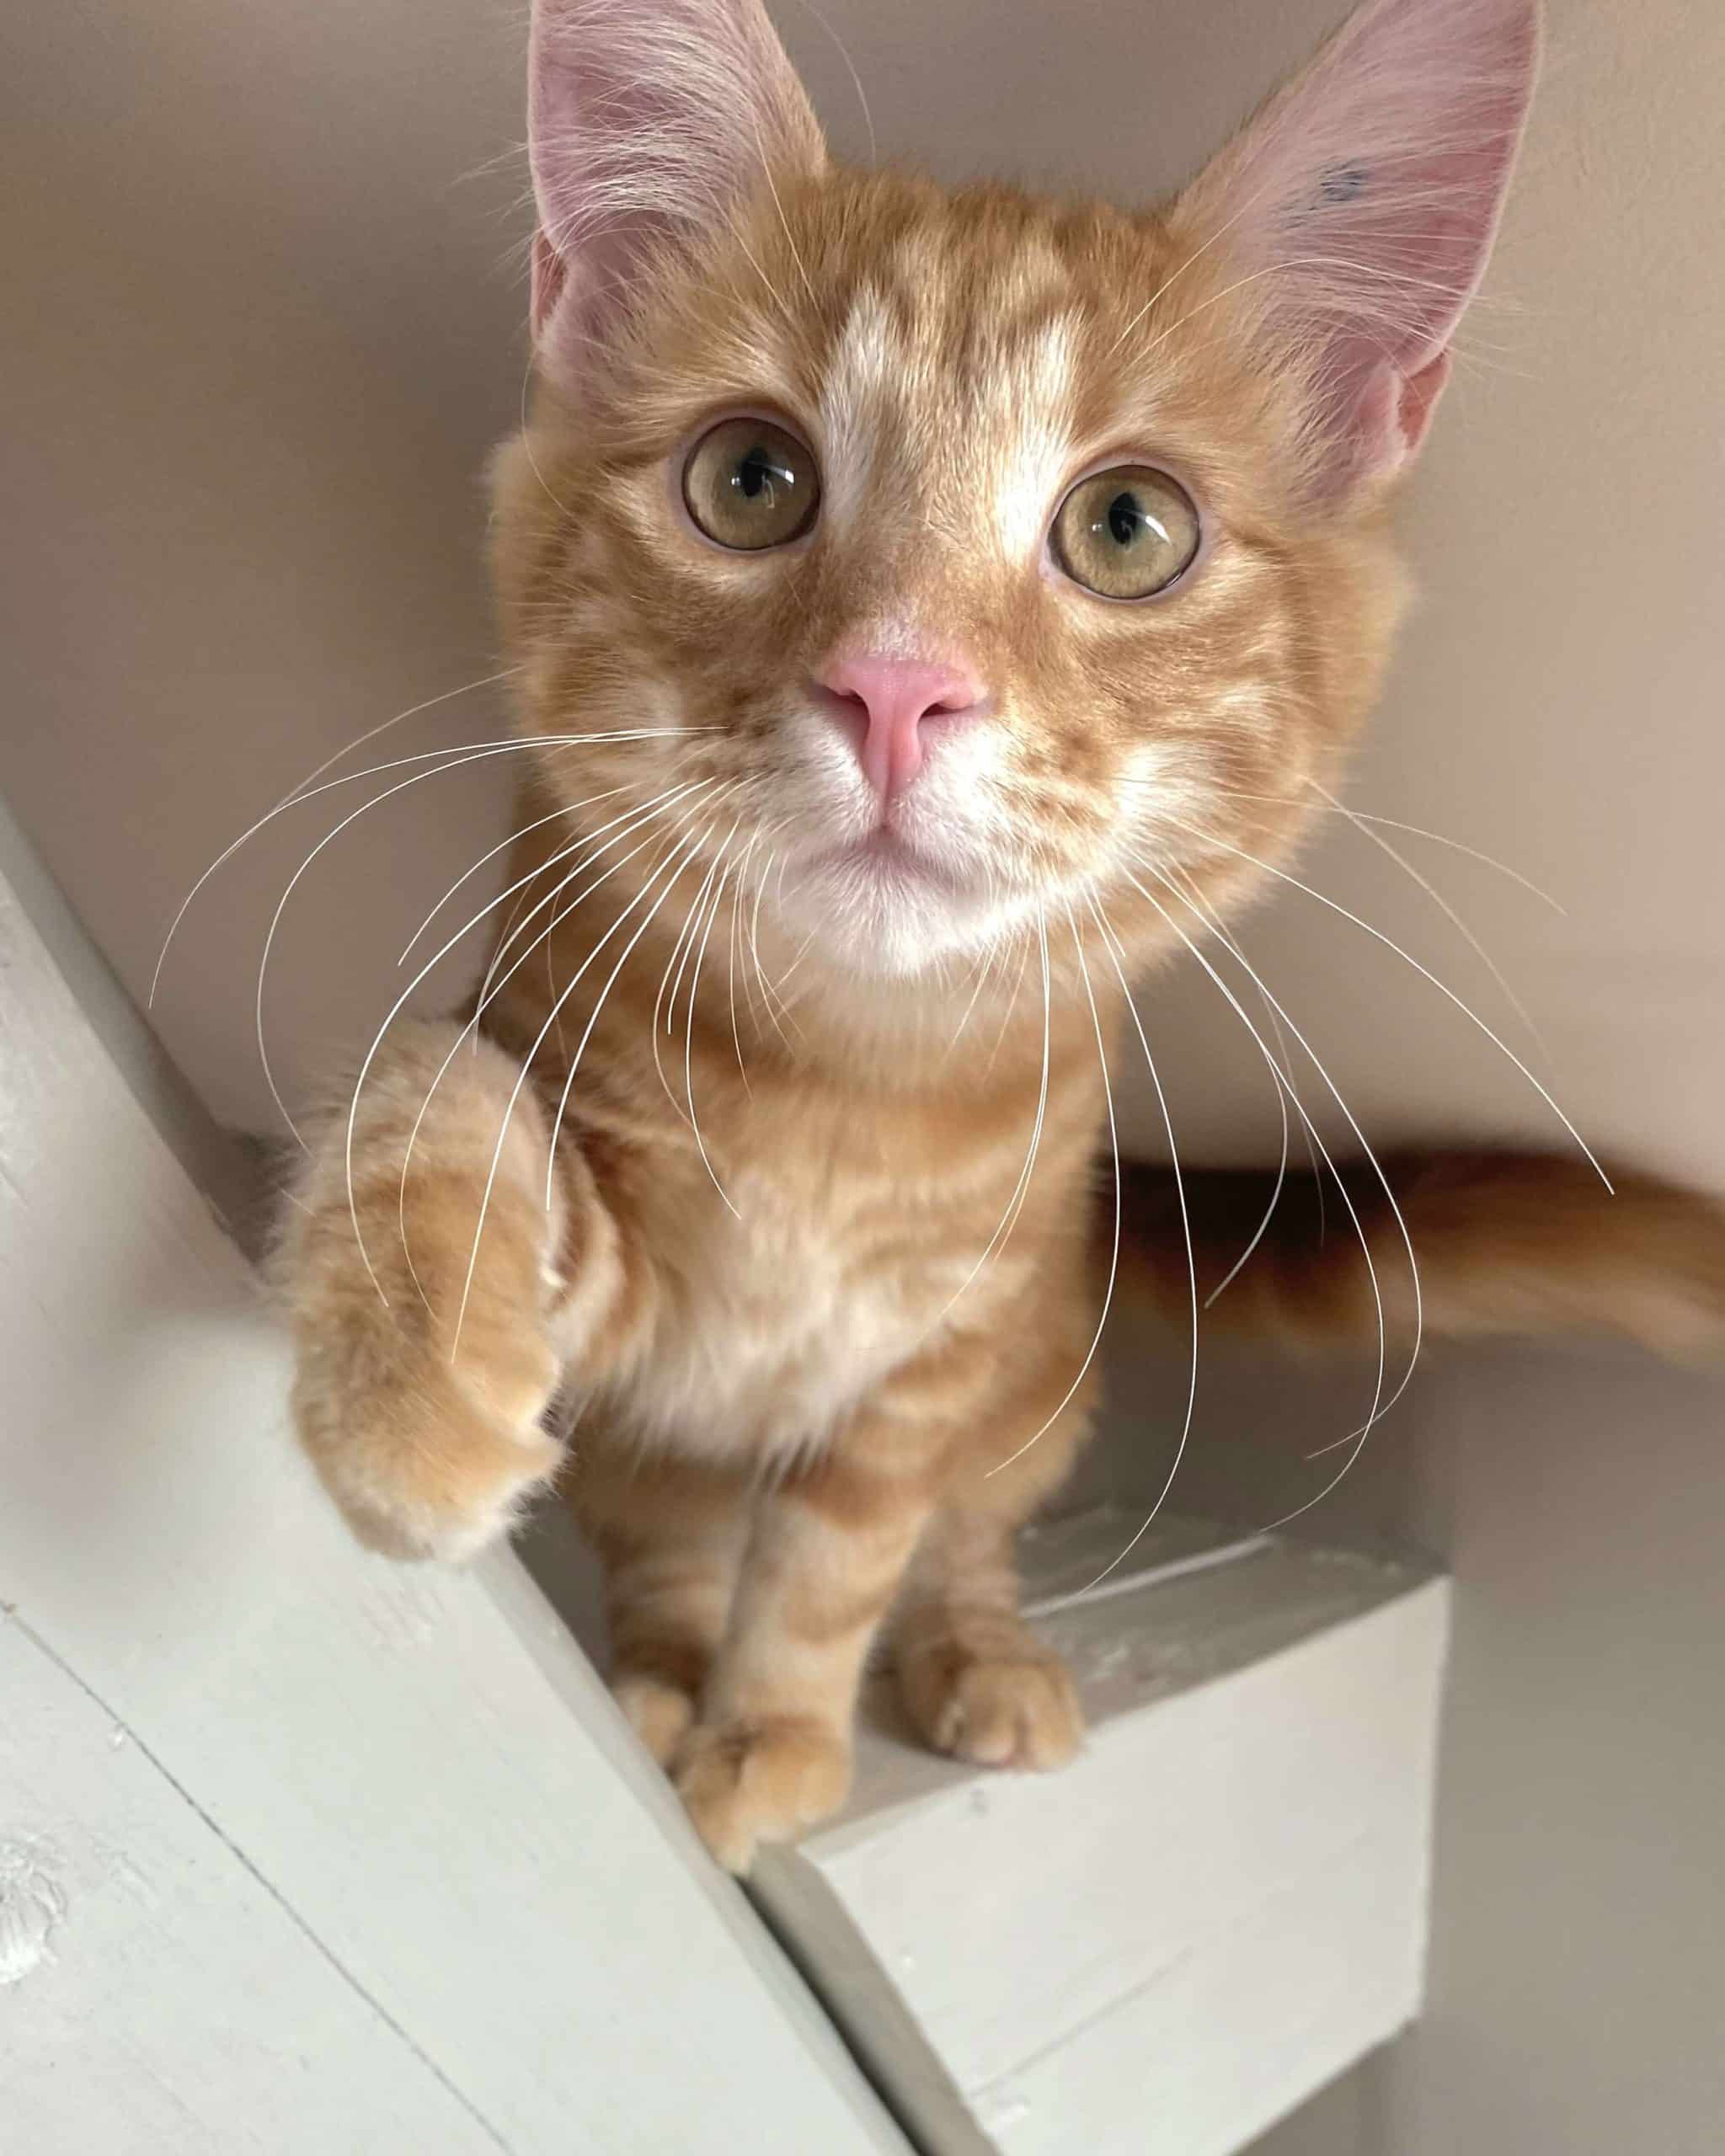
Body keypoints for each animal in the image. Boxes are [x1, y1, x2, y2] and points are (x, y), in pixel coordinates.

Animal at [278, 0, 1724, 1872]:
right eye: (749, 479)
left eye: (1127, 526)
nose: (895, 686)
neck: (841, 1094)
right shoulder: (625, 1274)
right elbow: (435, 1089)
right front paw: (410, 1384)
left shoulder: (936, 1359)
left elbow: (839, 1556)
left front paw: (777, 1733)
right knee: (668, 1534)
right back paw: (655, 1674)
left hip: (1037, 1368)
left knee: (968, 1531)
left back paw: (980, 1655)